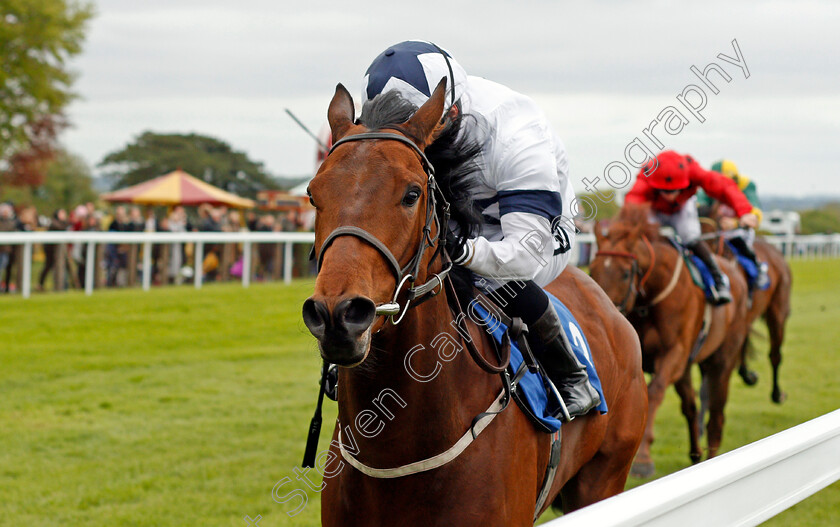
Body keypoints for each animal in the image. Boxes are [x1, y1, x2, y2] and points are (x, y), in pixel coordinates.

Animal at [588, 205, 752, 478]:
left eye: (625, 273)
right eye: (592, 269)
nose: (601, 309)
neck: (652, 296)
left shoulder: (673, 354)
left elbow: (654, 392)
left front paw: (643, 457)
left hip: (722, 359)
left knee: (716, 413)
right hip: (687, 367)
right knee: (691, 407)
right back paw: (696, 455)